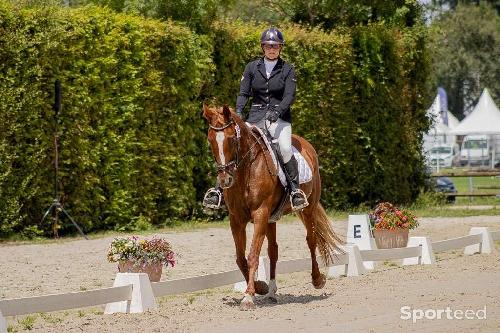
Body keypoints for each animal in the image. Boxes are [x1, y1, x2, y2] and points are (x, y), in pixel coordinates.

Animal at [203, 104, 344, 308]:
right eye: (210, 140)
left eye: (231, 139)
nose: (224, 180)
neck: (246, 170)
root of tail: (305, 144)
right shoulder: (237, 219)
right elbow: (241, 258)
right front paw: (260, 287)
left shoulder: (260, 214)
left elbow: (253, 255)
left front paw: (248, 296)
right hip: (271, 218)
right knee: (273, 251)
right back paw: (271, 291)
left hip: (308, 208)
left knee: (311, 240)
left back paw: (317, 279)